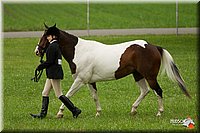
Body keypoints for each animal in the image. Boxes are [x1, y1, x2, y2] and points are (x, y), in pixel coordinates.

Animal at [34, 24, 191, 118]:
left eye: (46, 36)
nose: (37, 51)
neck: (80, 51)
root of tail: (153, 46)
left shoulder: (80, 80)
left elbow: (67, 94)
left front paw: (60, 113)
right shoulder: (90, 81)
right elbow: (94, 96)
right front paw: (98, 113)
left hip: (150, 76)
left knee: (158, 91)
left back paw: (159, 112)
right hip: (138, 75)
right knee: (145, 91)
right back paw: (133, 109)